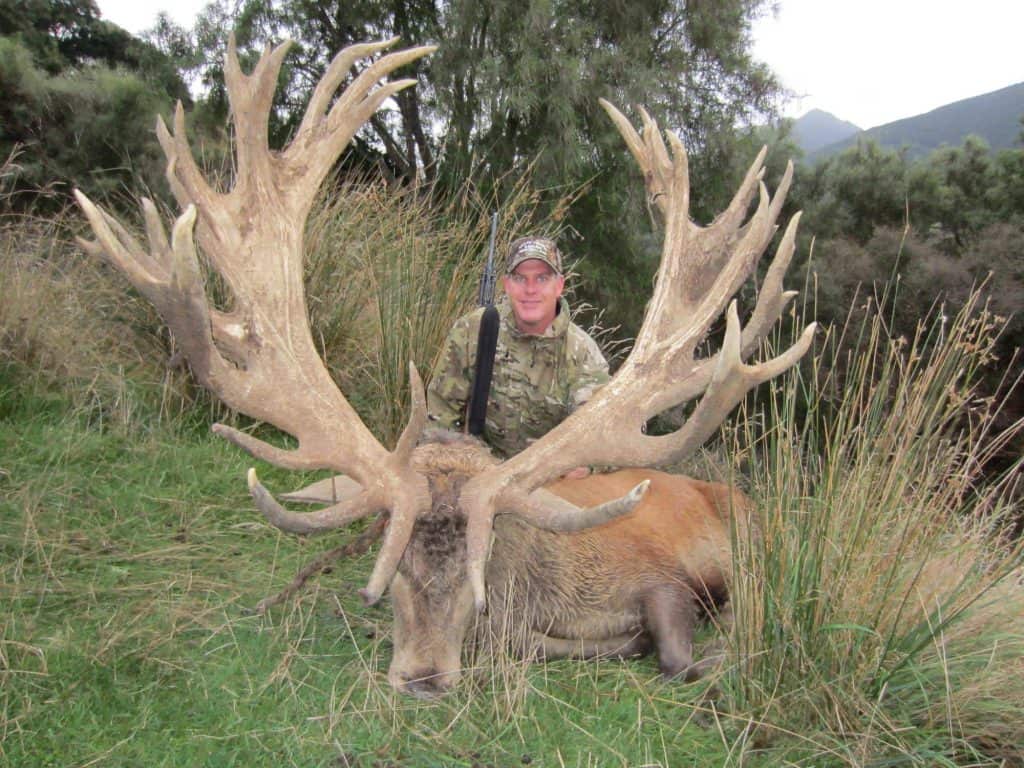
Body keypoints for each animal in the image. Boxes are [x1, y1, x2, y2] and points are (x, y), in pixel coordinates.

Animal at [74, 36, 815, 698]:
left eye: (478, 573)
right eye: (389, 563)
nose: (424, 679)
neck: (544, 590)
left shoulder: (661, 577)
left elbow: (674, 653)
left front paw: (674, 650)